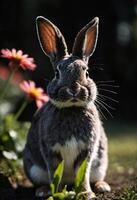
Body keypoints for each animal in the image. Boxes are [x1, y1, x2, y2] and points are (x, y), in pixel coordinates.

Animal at [23, 16, 111, 198]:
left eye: (87, 72)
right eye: (57, 73)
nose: (74, 89)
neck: (71, 108)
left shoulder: (87, 151)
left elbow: (82, 174)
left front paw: (86, 194)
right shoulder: (51, 151)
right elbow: (55, 172)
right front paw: (56, 193)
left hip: (101, 165)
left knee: (95, 177)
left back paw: (102, 186)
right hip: (33, 168)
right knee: (40, 181)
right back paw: (43, 191)